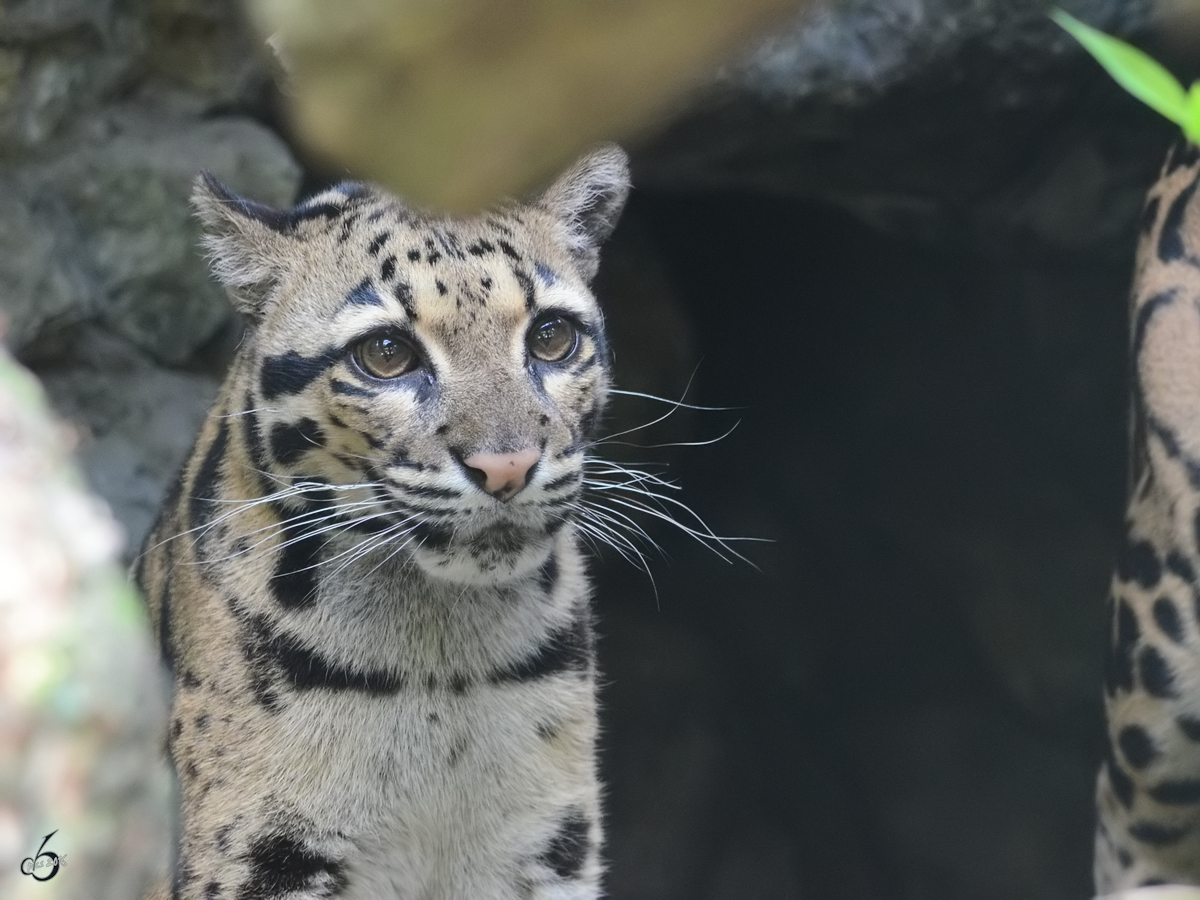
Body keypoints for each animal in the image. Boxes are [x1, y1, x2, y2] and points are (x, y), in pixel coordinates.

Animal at [133, 148, 628, 900]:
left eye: (551, 338)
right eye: (387, 353)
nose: (508, 466)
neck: (439, 651)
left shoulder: (544, 846)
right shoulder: (256, 855)